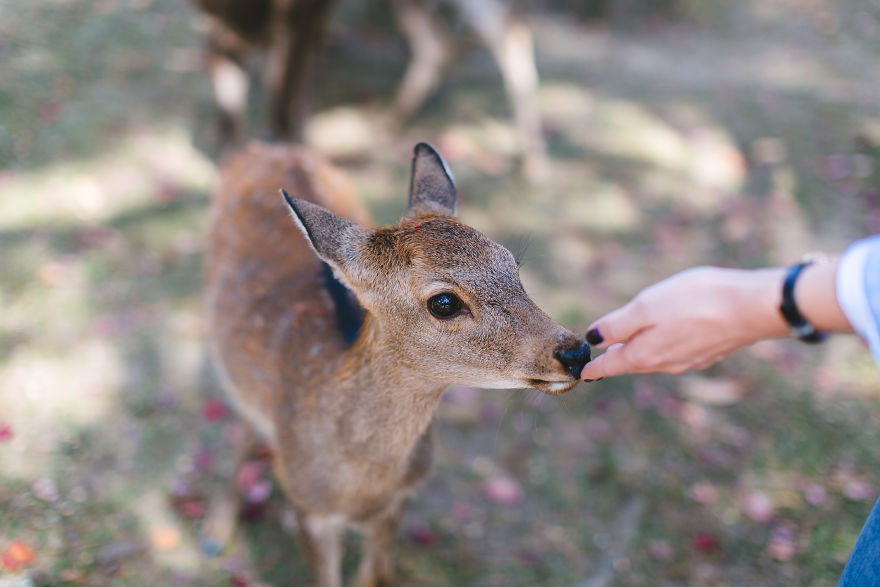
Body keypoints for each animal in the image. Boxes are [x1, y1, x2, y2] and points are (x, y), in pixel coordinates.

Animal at [191, 0, 546, 177]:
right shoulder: (220, 28)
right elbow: (231, 114)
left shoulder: (297, 17)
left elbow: (283, 103)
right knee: (449, 42)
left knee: (499, 34)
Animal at [202, 141, 589, 586]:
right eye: (444, 302)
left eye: (511, 264)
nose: (576, 352)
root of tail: (265, 146)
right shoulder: (309, 511)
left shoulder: (400, 499)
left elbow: (378, 576)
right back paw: (215, 530)